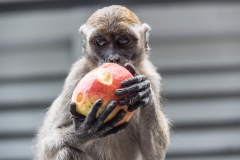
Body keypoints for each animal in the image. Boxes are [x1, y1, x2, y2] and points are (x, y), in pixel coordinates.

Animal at [34, 5, 171, 160]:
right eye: (101, 42)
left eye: (123, 40)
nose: (113, 58)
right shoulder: (76, 76)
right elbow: (48, 144)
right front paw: (84, 130)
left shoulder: (150, 75)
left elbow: (154, 153)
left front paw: (143, 91)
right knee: (68, 151)